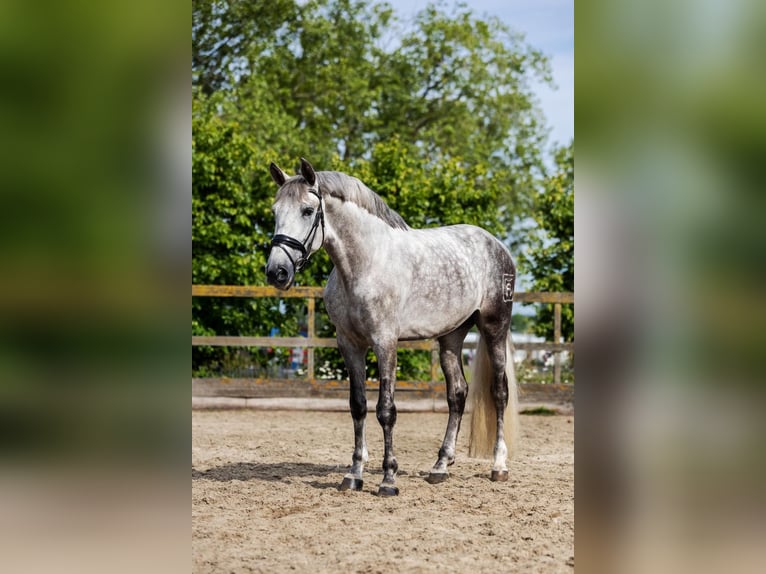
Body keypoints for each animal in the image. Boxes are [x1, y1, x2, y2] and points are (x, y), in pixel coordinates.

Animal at [265, 158, 519, 497]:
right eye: (275, 211)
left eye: (307, 210)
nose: (277, 272)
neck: (365, 264)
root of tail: (497, 246)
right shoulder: (349, 344)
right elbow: (358, 406)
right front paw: (354, 475)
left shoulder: (385, 342)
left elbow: (386, 410)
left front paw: (388, 479)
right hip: (451, 337)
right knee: (457, 394)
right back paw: (440, 466)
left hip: (494, 328)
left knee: (499, 392)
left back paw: (499, 466)